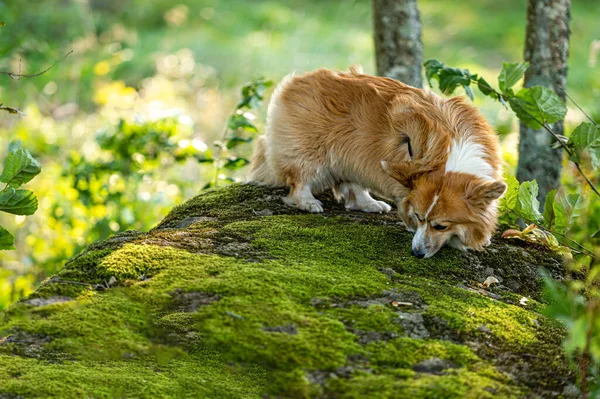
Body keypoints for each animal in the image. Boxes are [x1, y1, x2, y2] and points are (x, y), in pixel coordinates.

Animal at [248, 67, 506, 258]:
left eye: (440, 226)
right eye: (419, 217)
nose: (416, 253)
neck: (449, 157)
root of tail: (294, 81)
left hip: (351, 158)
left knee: (352, 189)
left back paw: (370, 204)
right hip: (310, 154)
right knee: (299, 181)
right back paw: (309, 202)